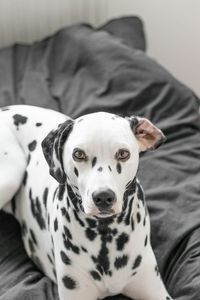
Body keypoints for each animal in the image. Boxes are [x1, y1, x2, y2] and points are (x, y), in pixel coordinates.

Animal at [0, 105, 172, 300]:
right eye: (78, 154)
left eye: (123, 153)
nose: (103, 197)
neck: (105, 234)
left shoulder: (156, 291)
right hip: (11, 175)